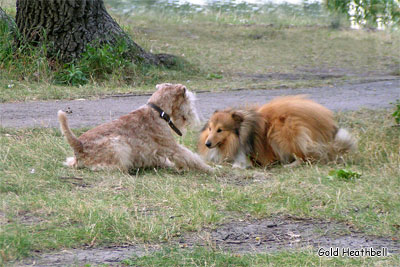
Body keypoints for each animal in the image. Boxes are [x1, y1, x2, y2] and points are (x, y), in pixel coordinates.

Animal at [58, 82, 212, 174]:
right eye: (188, 99)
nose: (193, 116)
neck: (157, 111)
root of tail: (78, 146)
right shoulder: (172, 147)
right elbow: (191, 157)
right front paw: (210, 169)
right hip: (118, 144)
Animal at [198, 95, 356, 169]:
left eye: (220, 130)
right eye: (210, 128)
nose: (207, 144)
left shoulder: (246, 158)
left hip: (282, 130)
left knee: (305, 158)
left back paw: (288, 165)